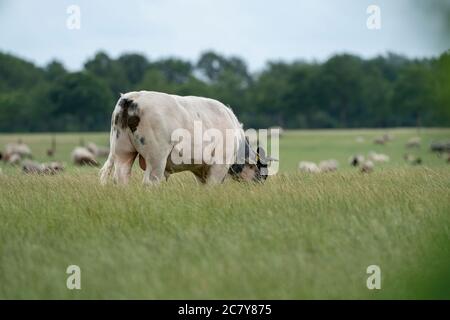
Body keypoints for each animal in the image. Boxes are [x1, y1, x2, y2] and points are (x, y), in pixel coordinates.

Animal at [100, 90, 268, 185]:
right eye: (259, 172)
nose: (259, 184)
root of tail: (132, 98)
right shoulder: (219, 165)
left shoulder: (201, 170)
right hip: (156, 157)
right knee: (150, 181)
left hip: (122, 151)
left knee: (121, 178)